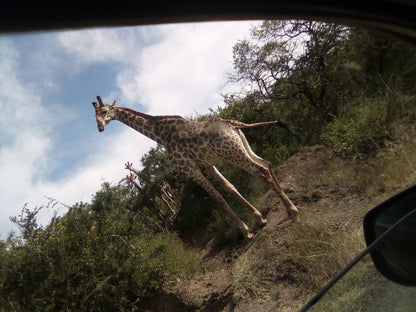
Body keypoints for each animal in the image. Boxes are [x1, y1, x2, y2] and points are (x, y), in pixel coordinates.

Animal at [92, 95, 298, 239]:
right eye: (95, 115)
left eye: (104, 112)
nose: (100, 128)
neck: (161, 136)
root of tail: (231, 123)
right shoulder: (208, 166)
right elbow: (230, 188)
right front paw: (259, 219)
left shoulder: (190, 170)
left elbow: (218, 198)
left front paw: (246, 232)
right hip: (242, 147)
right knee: (267, 164)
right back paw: (289, 204)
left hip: (232, 153)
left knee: (261, 171)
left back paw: (293, 211)